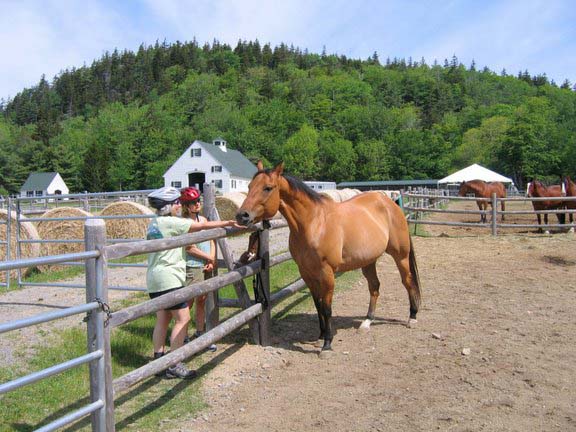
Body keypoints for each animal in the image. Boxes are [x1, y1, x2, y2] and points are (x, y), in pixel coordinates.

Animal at [235, 160, 424, 352]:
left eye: (267, 188)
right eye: (249, 186)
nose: (242, 216)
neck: (314, 224)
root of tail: (390, 203)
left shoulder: (327, 273)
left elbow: (327, 307)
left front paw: (327, 342)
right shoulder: (306, 273)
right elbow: (318, 304)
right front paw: (320, 334)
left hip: (401, 256)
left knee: (408, 281)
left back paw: (412, 317)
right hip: (368, 261)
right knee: (374, 287)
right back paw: (367, 321)